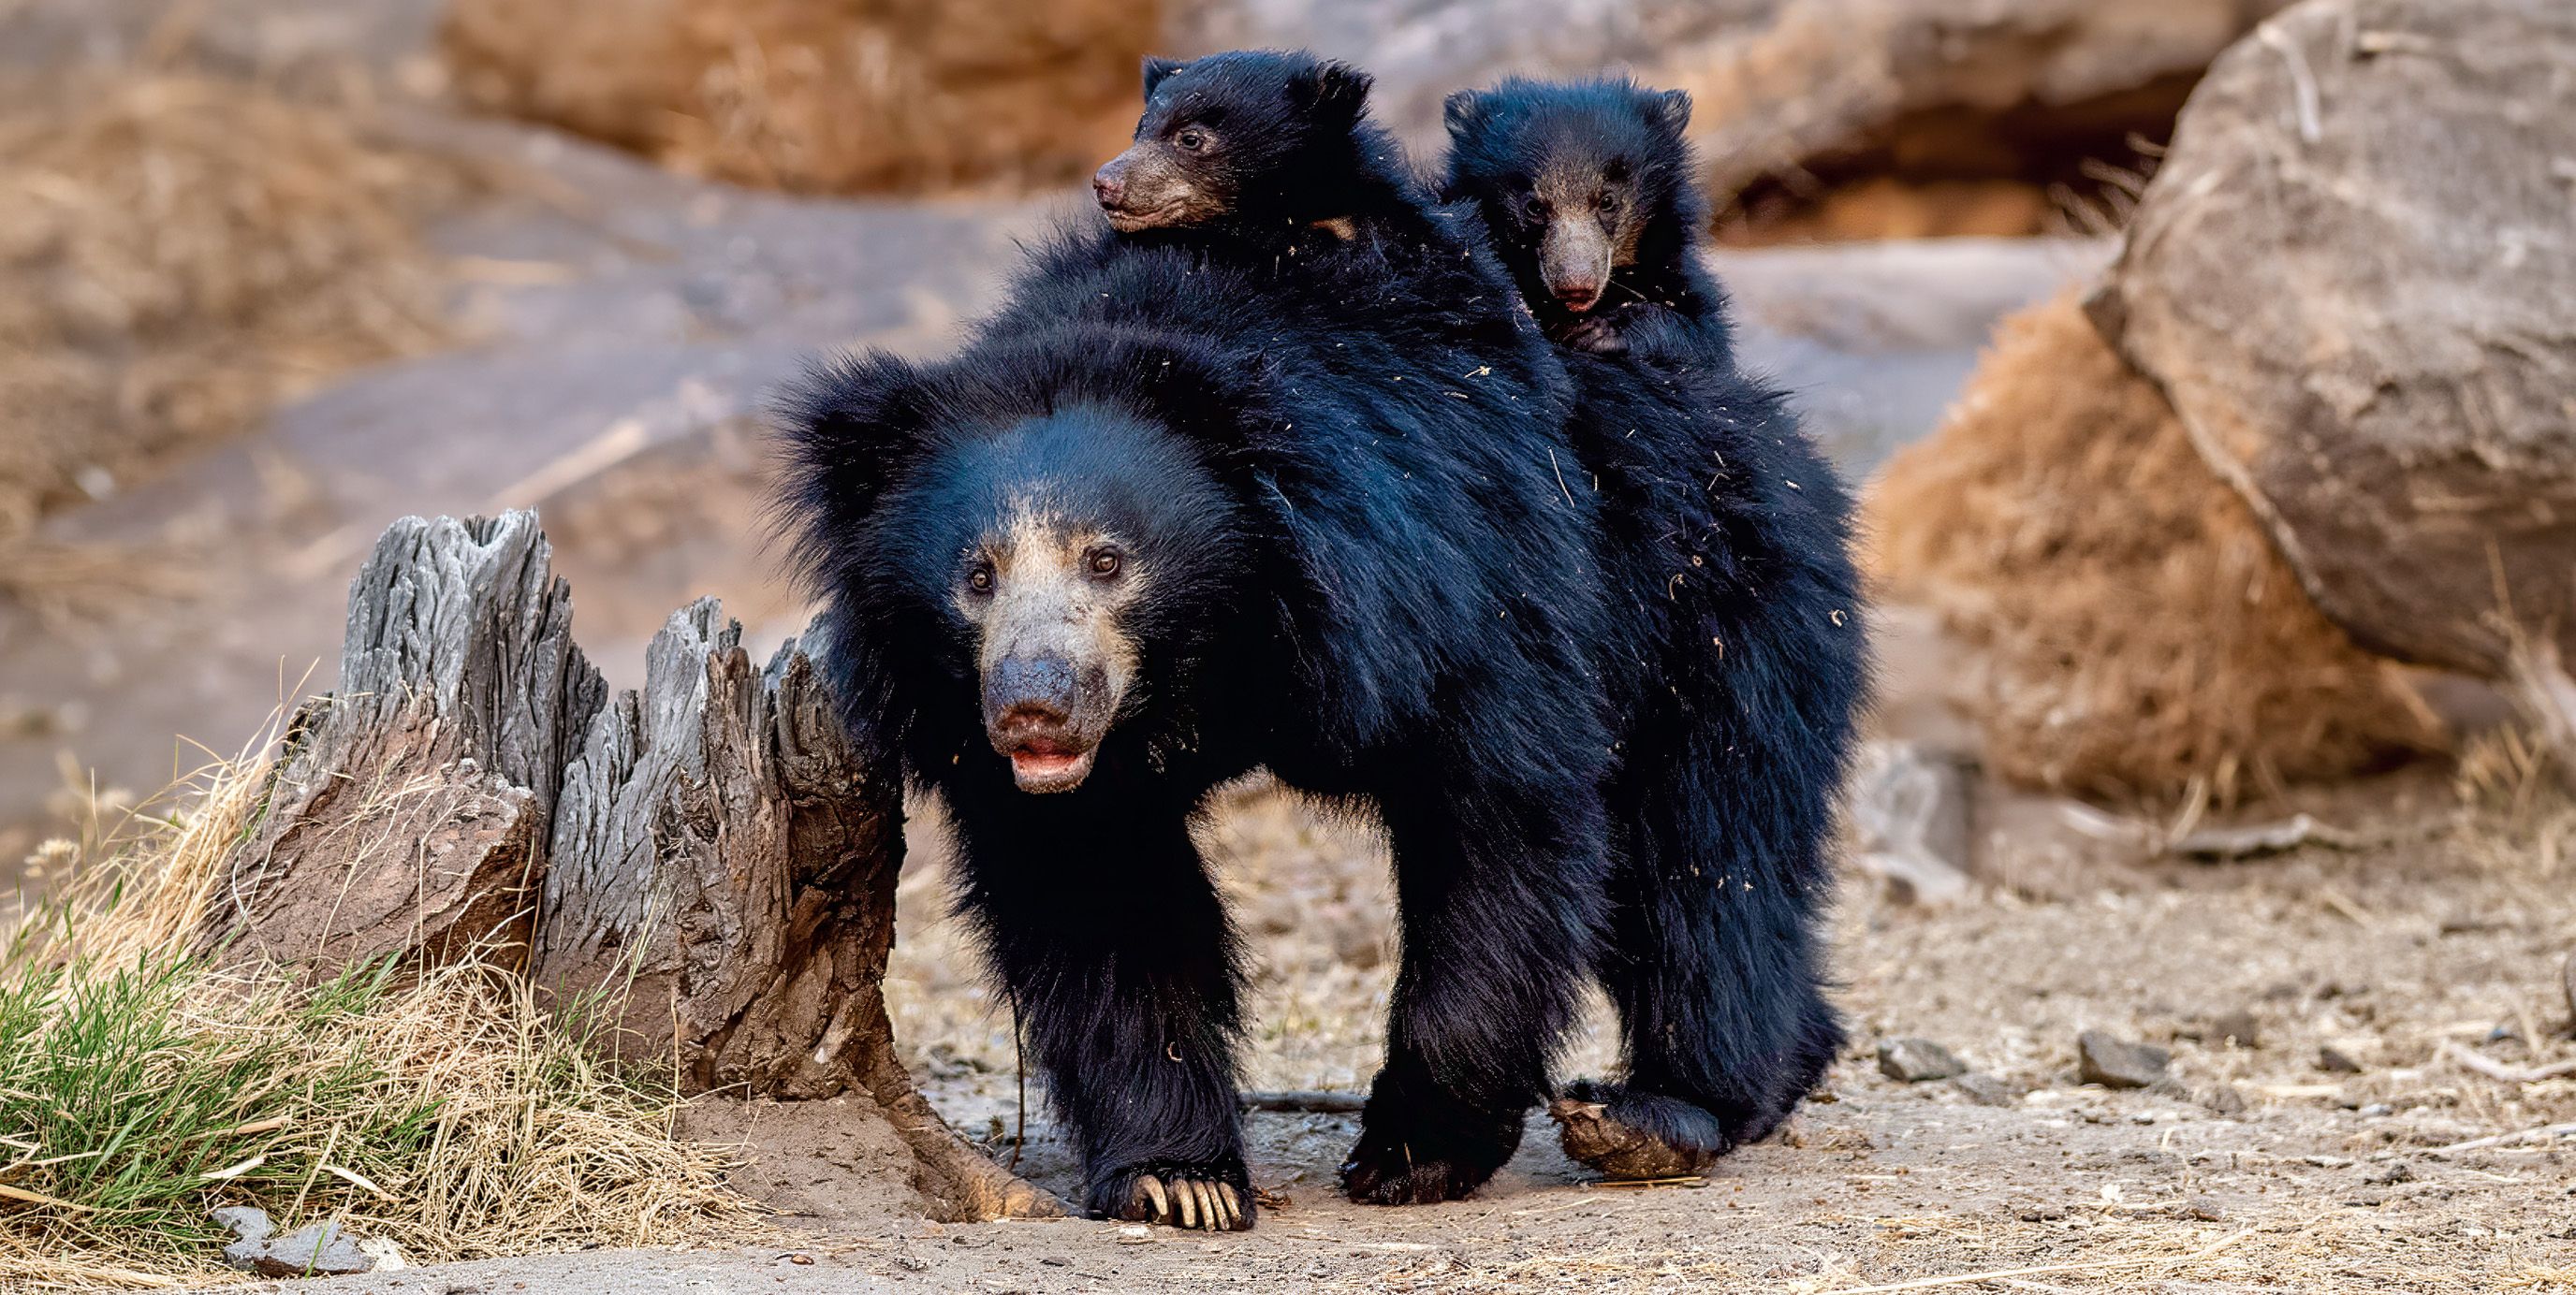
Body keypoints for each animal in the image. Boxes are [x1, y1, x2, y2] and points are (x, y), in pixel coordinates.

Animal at [772, 113, 1611, 1229]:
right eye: (976, 576)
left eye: (1107, 559)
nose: (1033, 709)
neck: (1212, 650)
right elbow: (1100, 895)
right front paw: (1180, 1180)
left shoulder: (1449, 583)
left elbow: (1496, 821)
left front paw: (1415, 1152)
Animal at [1442, 77, 1867, 1174]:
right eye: (1530, 202)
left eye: (1610, 198)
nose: (1578, 287)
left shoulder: (1688, 301)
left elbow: (1680, 330)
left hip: (1732, 669)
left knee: (1709, 877)